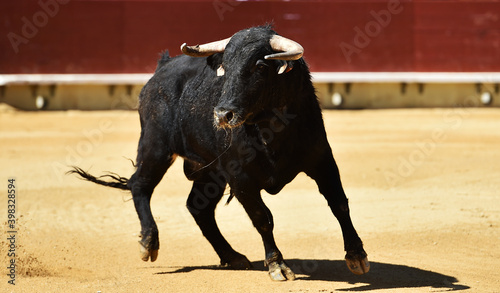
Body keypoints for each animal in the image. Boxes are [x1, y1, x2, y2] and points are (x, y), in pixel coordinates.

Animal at [69, 25, 368, 280]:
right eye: (225, 67)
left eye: (261, 67)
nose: (223, 114)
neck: (270, 129)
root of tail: (162, 67)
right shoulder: (241, 179)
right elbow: (263, 218)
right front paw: (277, 265)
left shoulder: (322, 161)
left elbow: (339, 203)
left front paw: (356, 255)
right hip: (155, 146)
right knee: (140, 185)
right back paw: (149, 242)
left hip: (209, 171)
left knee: (197, 207)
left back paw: (232, 256)